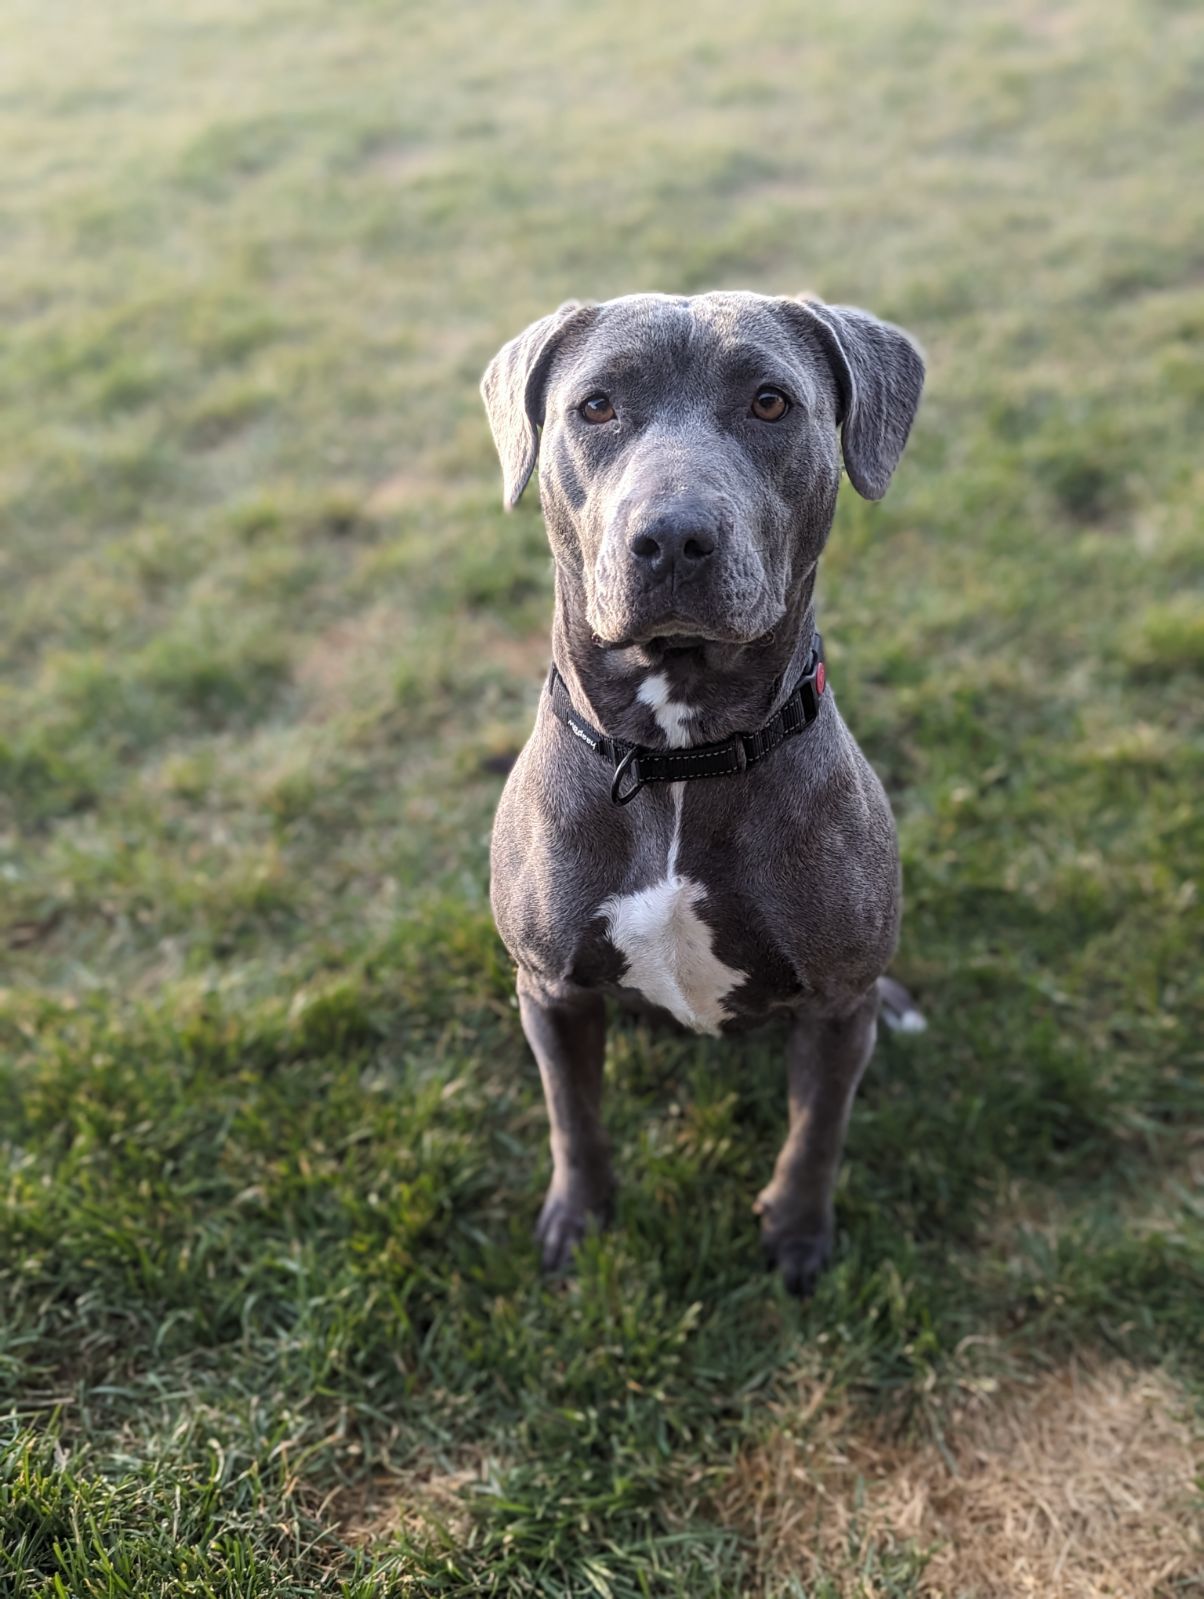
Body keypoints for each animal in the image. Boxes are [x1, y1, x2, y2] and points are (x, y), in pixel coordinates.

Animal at [476, 294, 920, 1298]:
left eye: (770, 402)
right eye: (596, 406)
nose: (673, 536)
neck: (678, 758)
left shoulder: (835, 1006)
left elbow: (816, 1129)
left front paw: (797, 1231)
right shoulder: (550, 991)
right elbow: (573, 1117)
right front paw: (579, 1217)